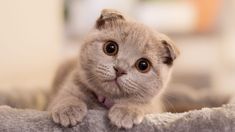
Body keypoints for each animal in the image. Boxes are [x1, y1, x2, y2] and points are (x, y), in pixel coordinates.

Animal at [47, 8, 180, 128]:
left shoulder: (155, 107)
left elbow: (143, 104)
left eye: (143, 65)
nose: (120, 70)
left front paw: (126, 111)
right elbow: (65, 96)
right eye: (110, 48)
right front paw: (68, 108)